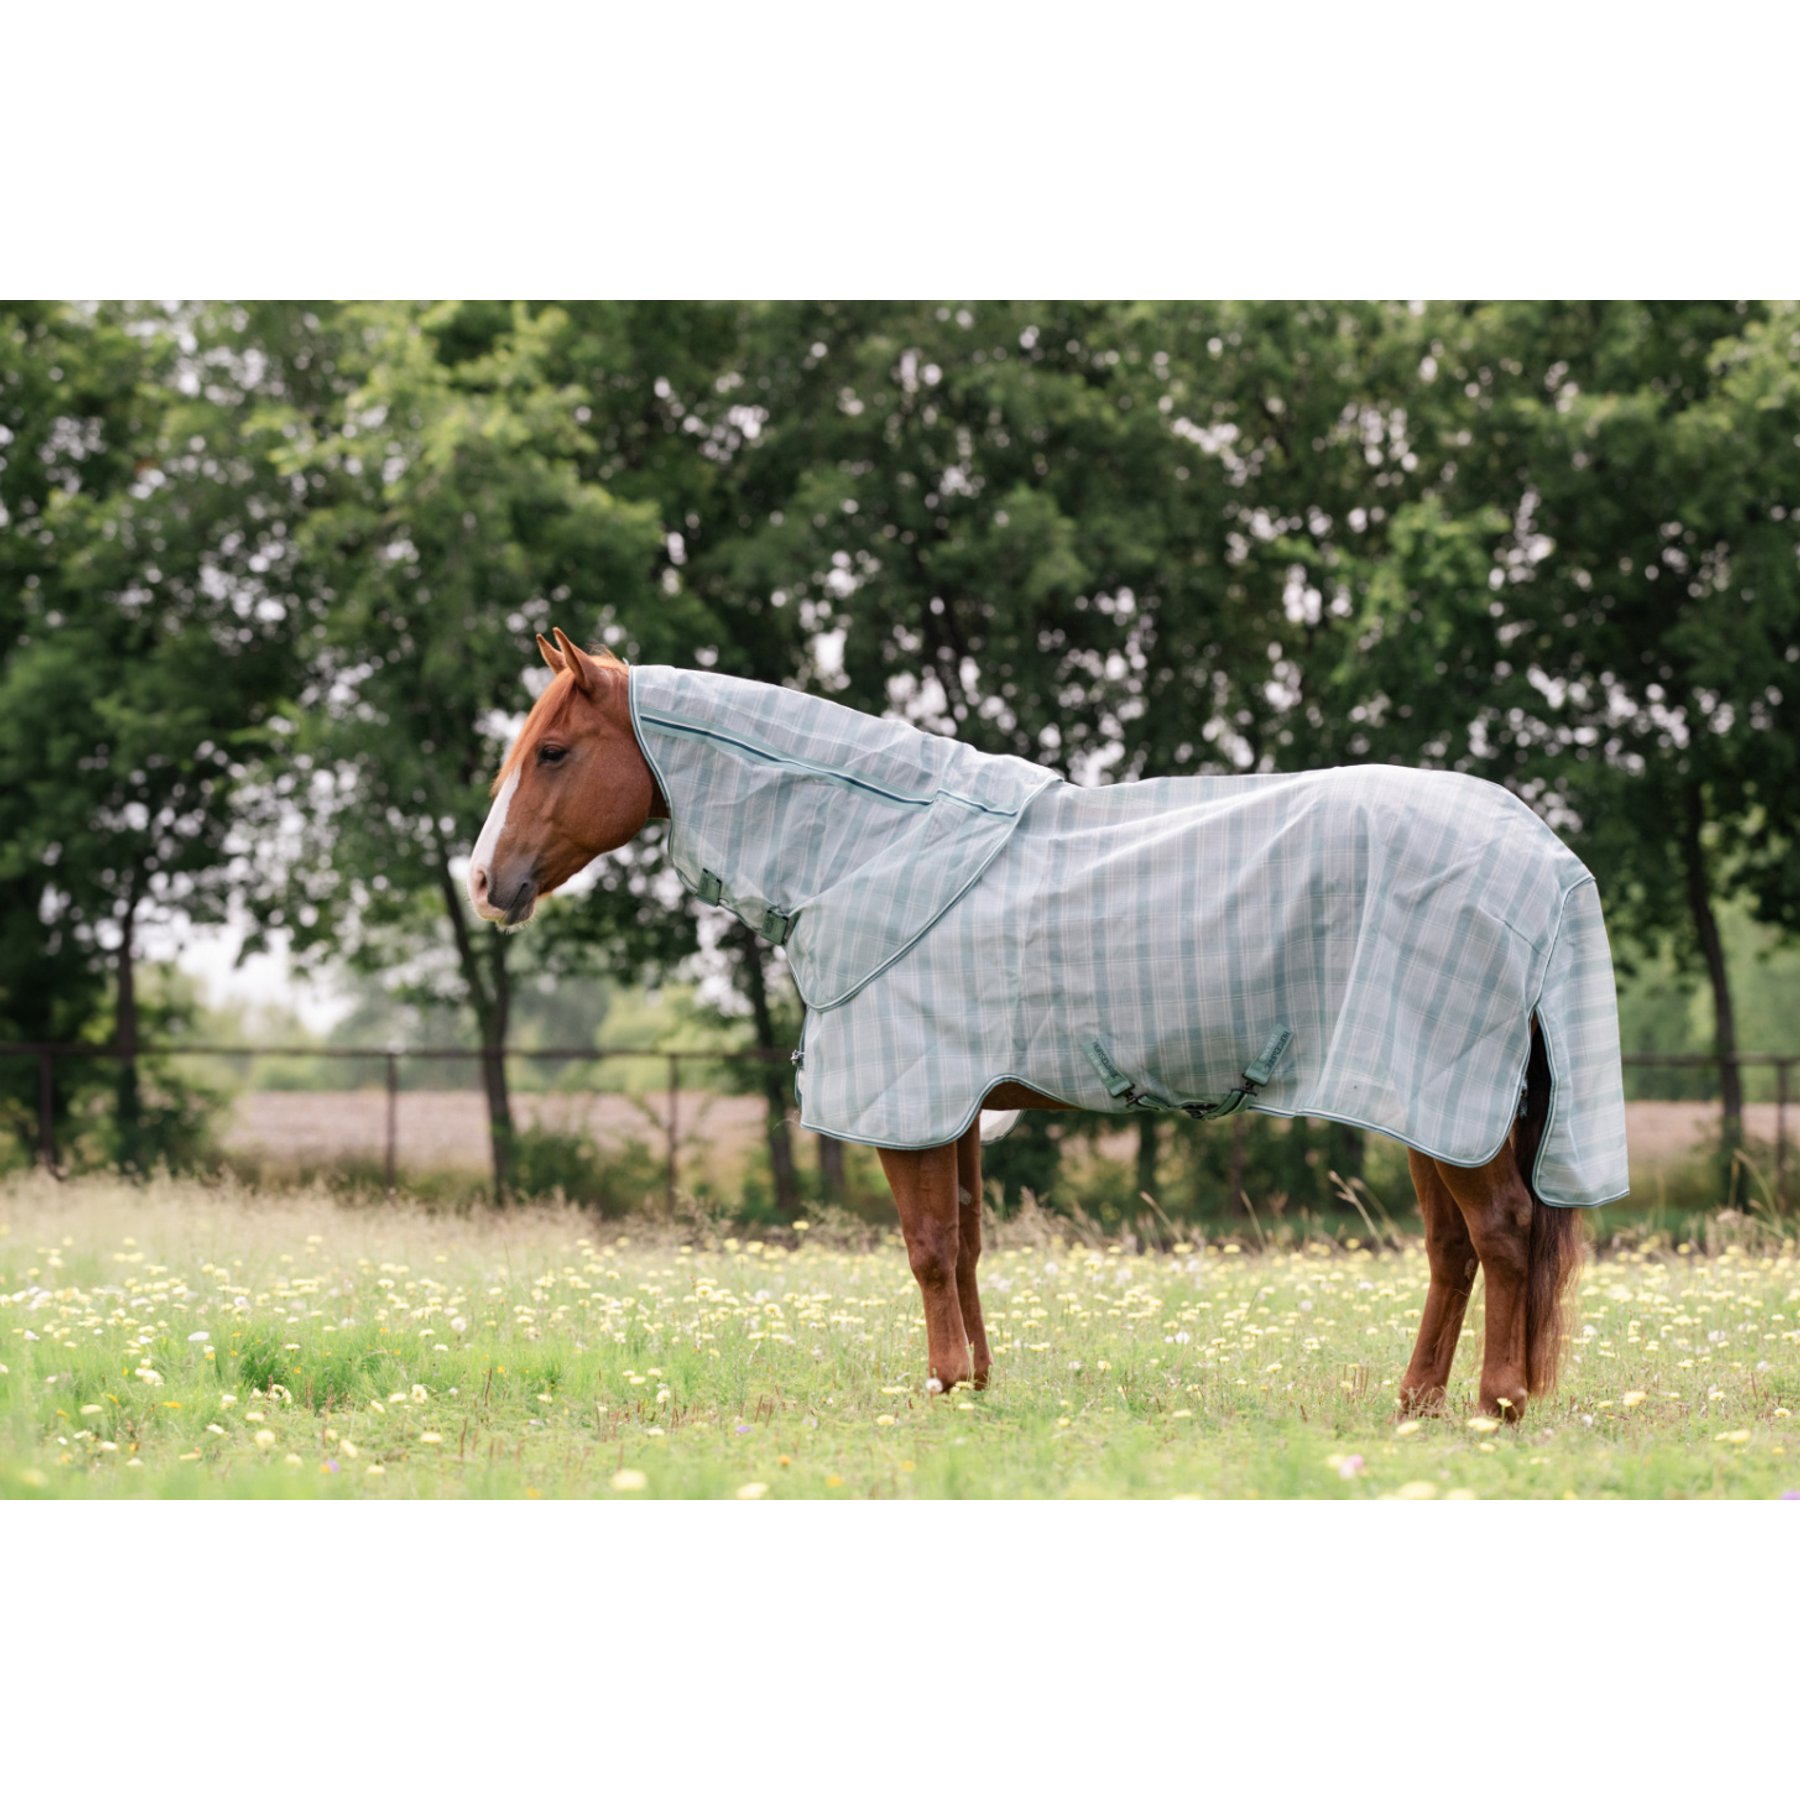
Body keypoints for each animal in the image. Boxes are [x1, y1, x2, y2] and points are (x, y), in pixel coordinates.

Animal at [470, 628, 1629, 1419]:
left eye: (556, 751)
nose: (486, 882)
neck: (874, 845)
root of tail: (1540, 852)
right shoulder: (958, 1107)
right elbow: (967, 1243)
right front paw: (977, 1385)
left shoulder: (912, 1099)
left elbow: (929, 1247)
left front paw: (943, 1387)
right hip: (1426, 1099)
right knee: (1455, 1249)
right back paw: (1416, 1406)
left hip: (1445, 1094)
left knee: (1504, 1234)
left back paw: (1495, 1406)